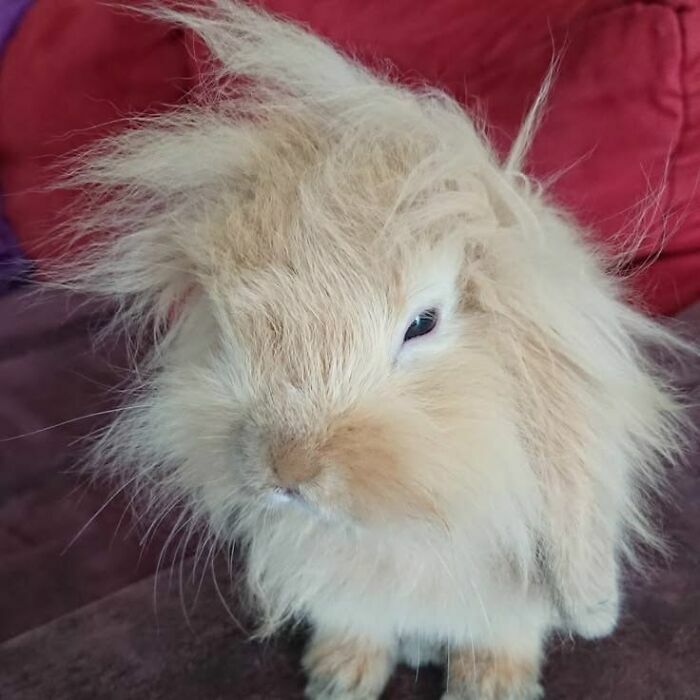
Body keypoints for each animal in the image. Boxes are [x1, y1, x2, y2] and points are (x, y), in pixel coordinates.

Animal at [55, 3, 687, 699]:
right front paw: (338, 678)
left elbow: (506, 629)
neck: (397, 526)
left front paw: (491, 685)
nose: (287, 470)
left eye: (423, 324)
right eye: (224, 324)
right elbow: (356, 621)